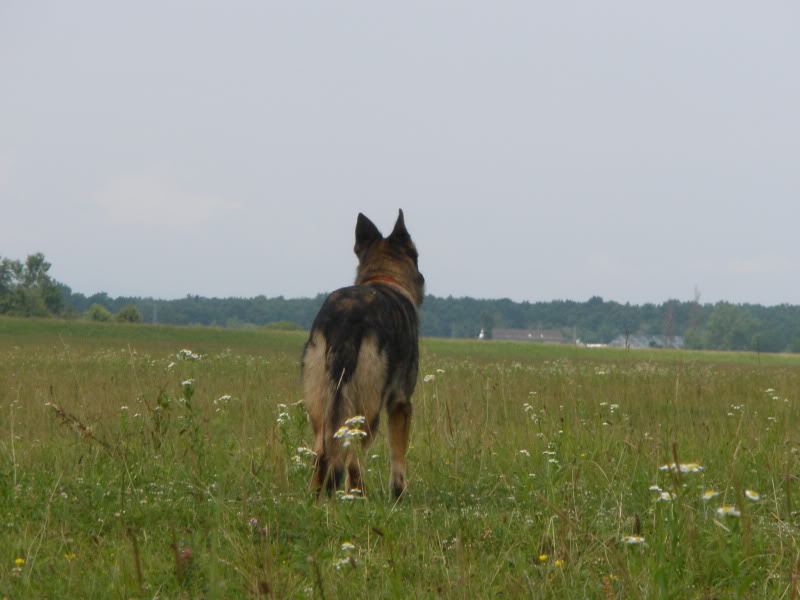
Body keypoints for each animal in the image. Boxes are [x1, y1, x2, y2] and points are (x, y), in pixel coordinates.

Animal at [302, 209, 424, 500]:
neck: (383, 276)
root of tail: (346, 317)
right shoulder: (401, 404)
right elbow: (398, 458)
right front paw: (399, 494)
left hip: (320, 404)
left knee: (322, 453)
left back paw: (316, 498)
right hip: (368, 408)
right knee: (353, 460)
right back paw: (357, 498)